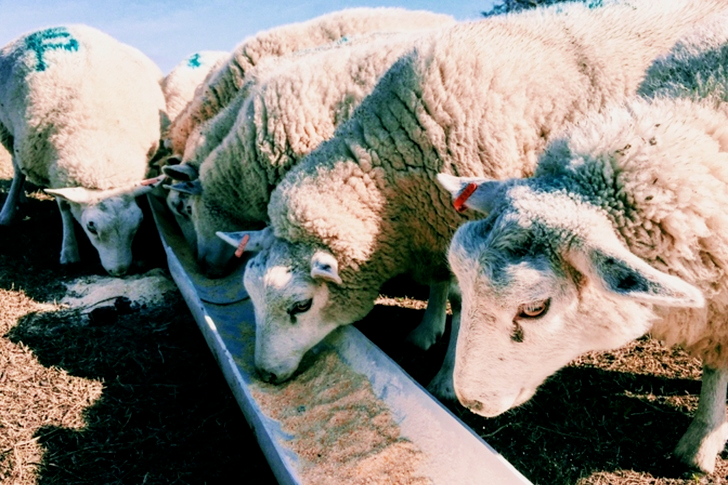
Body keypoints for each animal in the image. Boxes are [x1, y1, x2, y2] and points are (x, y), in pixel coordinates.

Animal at [0, 24, 167, 276]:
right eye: (92, 227)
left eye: (138, 223)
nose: (120, 271)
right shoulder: (51, 169)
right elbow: (64, 208)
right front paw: (69, 252)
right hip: (8, 132)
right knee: (18, 171)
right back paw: (9, 210)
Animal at [214, 0, 728, 393]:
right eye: (251, 296)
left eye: (300, 305)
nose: (264, 375)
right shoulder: (432, 225)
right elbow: (440, 282)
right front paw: (425, 331)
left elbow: (464, 303)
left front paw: (444, 378)